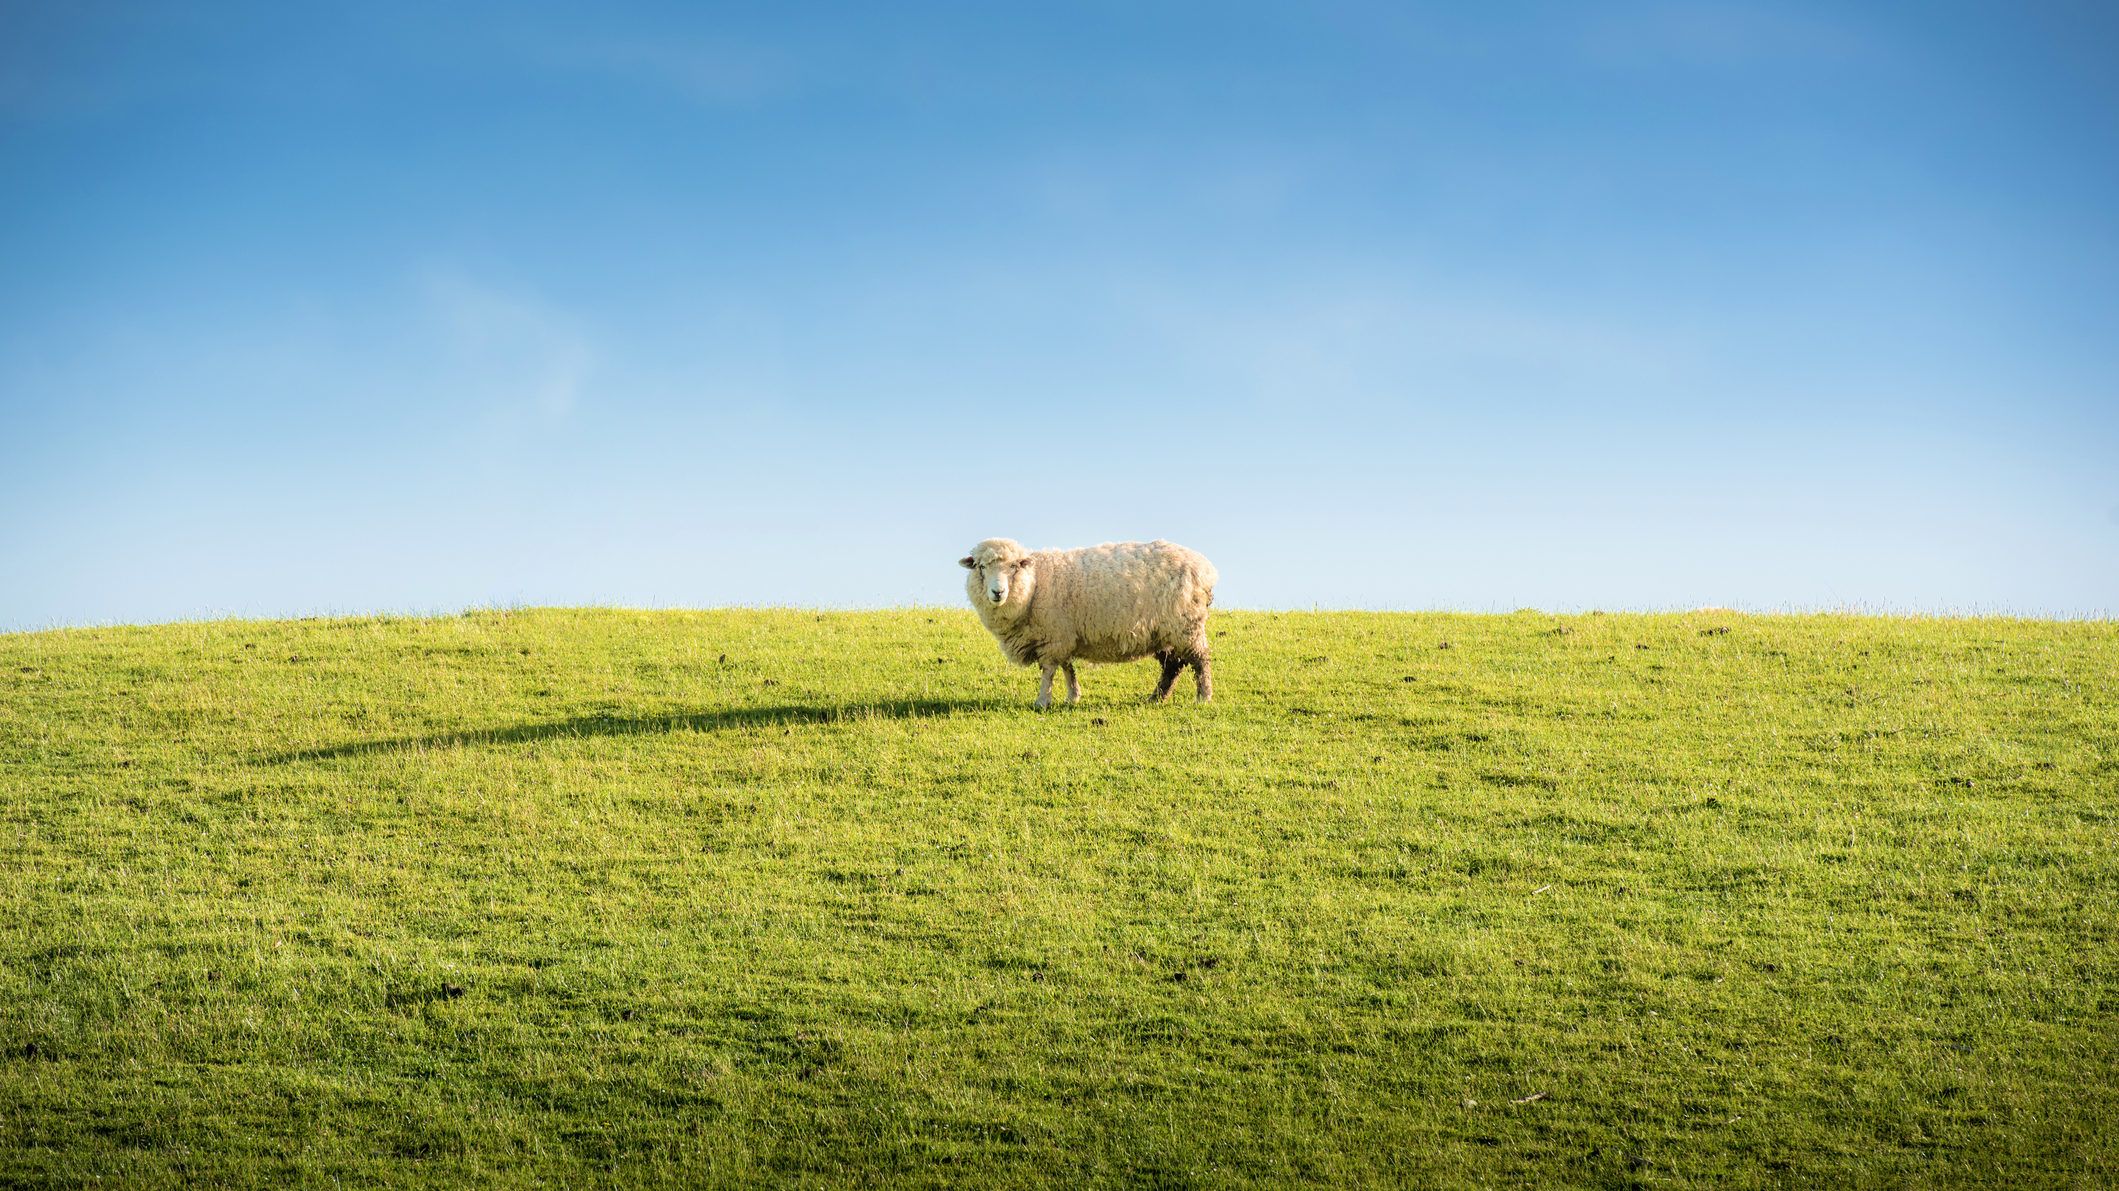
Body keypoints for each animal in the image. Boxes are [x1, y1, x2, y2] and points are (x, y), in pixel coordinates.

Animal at [966, 536, 1229, 703]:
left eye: (1013, 566)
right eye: (980, 567)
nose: (997, 592)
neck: (1035, 584)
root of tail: (1207, 569)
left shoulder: (1053, 639)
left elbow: (1049, 671)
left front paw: (1042, 700)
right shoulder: (1063, 636)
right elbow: (1067, 667)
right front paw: (1073, 696)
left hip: (1186, 625)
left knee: (1200, 661)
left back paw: (1203, 697)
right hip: (1164, 631)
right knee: (1172, 666)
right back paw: (1156, 698)